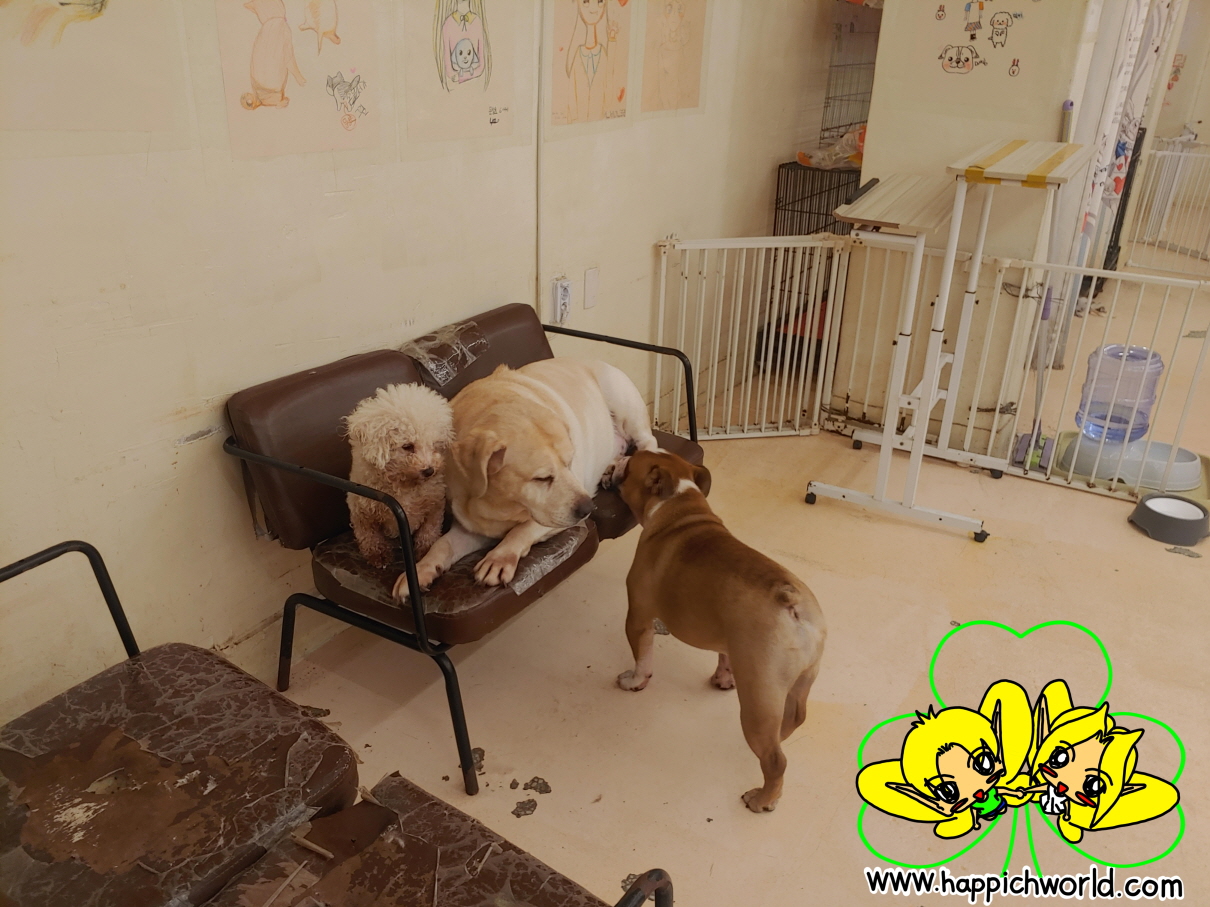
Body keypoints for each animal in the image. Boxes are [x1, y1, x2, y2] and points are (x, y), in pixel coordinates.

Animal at [345, 383, 454, 567]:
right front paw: (378, 555)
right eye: (407, 446)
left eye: (434, 445)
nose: (430, 471)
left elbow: (429, 531)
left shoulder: (435, 506)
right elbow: (369, 535)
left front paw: (426, 551)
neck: (404, 485)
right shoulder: (362, 511)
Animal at [394, 358, 657, 598]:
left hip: (623, 402)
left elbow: (522, 529)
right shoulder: (472, 527)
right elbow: (442, 545)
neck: (499, 504)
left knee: (649, 444)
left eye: (569, 463)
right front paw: (420, 570)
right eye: (542, 478)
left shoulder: (550, 518)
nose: (588, 508)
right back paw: (612, 468)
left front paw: (499, 558)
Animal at [613, 450, 826, 813]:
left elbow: (642, 658)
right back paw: (782, 736)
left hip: (757, 696)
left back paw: (763, 799)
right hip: (801, 680)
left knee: (775, 761)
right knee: (794, 718)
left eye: (629, 466)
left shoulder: (638, 616)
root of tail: (794, 605)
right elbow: (724, 655)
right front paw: (723, 679)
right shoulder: (729, 634)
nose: (620, 457)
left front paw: (634, 681)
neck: (678, 504)